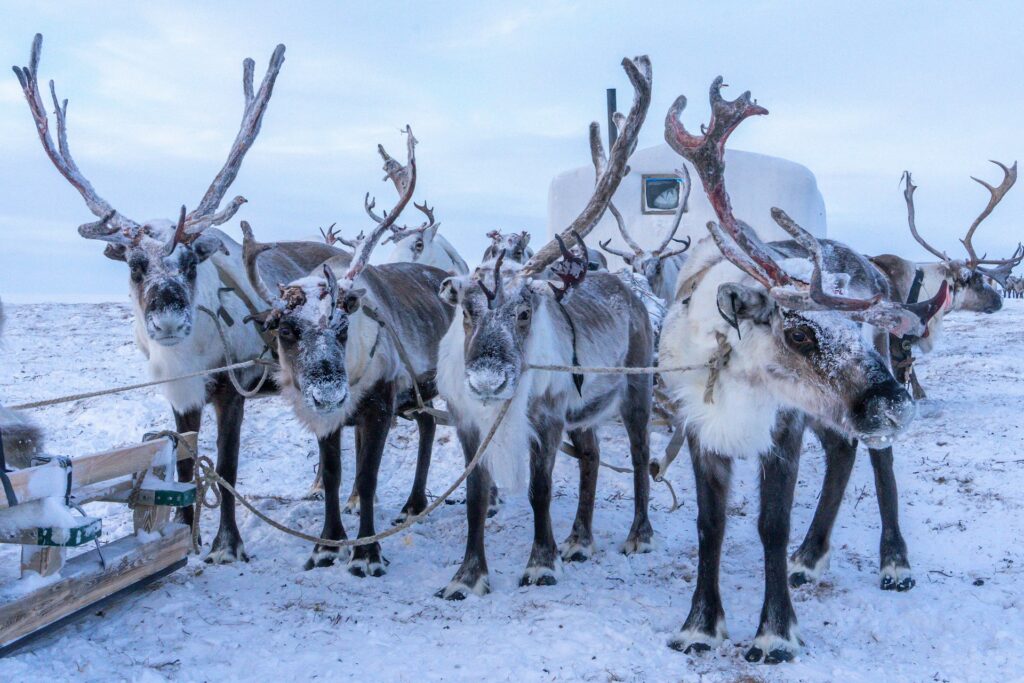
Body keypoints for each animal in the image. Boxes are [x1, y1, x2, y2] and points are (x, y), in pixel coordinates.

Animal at [10, 34, 328, 564]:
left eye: (192, 261)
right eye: (135, 265)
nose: (168, 322)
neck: (189, 355)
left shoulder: (232, 390)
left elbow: (228, 467)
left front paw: (227, 545)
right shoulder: (180, 396)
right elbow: (182, 468)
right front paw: (184, 535)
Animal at [243, 127, 456, 575]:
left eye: (342, 327)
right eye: (285, 329)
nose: (329, 393)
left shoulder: (380, 404)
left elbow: (369, 476)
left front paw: (367, 553)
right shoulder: (330, 418)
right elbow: (334, 474)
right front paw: (327, 544)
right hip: (419, 393)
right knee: (428, 427)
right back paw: (414, 504)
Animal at [433, 55, 654, 600]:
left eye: (525, 311)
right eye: (466, 310)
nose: (488, 381)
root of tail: (630, 293)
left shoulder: (549, 417)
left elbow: (539, 489)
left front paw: (540, 562)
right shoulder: (467, 422)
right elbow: (476, 494)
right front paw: (468, 575)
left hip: (638, 389)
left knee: (640, 455)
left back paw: (638, 535)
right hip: (587, 408)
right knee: (593, 457)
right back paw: (579, 539)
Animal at [658, 77, 949, 662]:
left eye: (855, 329)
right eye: (798, 333)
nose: (896, 404)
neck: (736, 374)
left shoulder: (783, 429)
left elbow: (772, 525)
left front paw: (774, 633)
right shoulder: (699, 430)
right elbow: (709, 525)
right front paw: (700, 626)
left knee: (877, 460)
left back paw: (893, 562)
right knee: (842, 450)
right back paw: (809, 558)